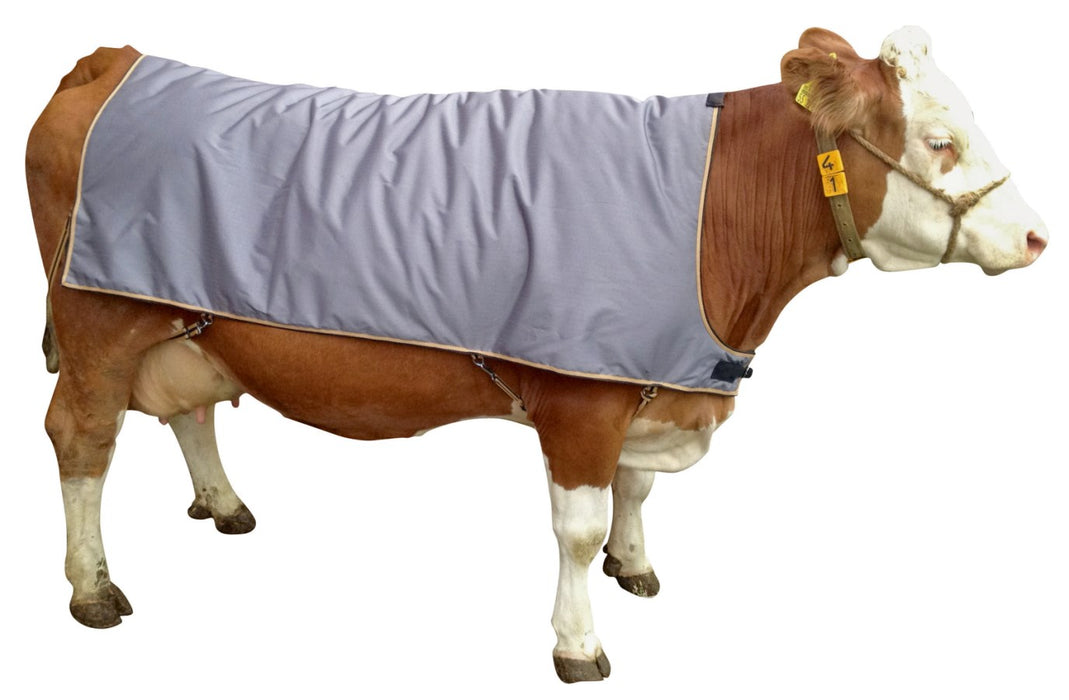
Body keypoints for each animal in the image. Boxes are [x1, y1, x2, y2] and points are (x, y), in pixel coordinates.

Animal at [25, 26, 1046, 683]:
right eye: (939, 140)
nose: (1037, 236)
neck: (713, 217)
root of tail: (112, 59)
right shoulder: (581, 398)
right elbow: (578, 527)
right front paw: (578, 643)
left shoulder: (648, 377)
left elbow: (636, 493)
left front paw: (635, 568)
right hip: (97, 324)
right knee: (82, 439)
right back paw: (93, 587)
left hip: (185, 316)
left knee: (189, 405)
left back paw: (223, 501)